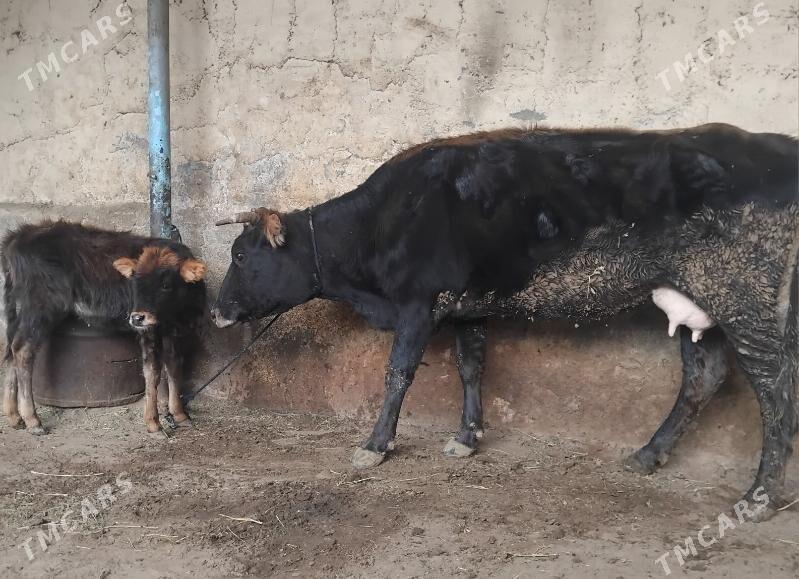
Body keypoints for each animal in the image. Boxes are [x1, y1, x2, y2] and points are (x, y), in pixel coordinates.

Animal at [2, 220, 207, 434]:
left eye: (166, 285)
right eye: (135, 282)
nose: (137, 317)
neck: (175, 315)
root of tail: (18, 237)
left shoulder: (173, 332)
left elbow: (174, 366)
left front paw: (180, 415)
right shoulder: (149, 331)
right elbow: (153, 372)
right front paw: (154, 423)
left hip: (17, 310)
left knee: (10, 350)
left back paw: (14, 417)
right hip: (41, 307)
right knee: (22, 350)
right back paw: (33, 420)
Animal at [210, 123, 797, 516]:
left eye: (239, 255)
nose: (216, 310)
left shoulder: (419, 304)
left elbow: (398, 375)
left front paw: (375, 446)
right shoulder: (468, 306)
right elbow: (472, 367)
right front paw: (466, 438)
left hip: (746, 297)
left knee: (774, 389)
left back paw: (760, 495)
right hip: (703, 298)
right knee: (704, 374)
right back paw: (648, 454)